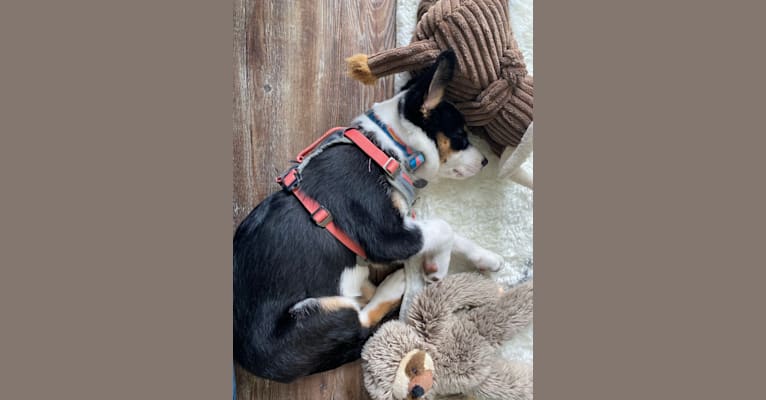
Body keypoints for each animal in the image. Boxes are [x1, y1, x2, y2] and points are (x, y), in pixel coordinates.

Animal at [237, 50, 508, 382]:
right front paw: (438, 266)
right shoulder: (385, 236)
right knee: (360, 322)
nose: (484, 162)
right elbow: (443, 227)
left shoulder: (406, 224)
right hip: (317, 315)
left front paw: (486, 258)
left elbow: (451, 232)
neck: (389, 149)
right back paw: (395, 283)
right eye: (460, 136)